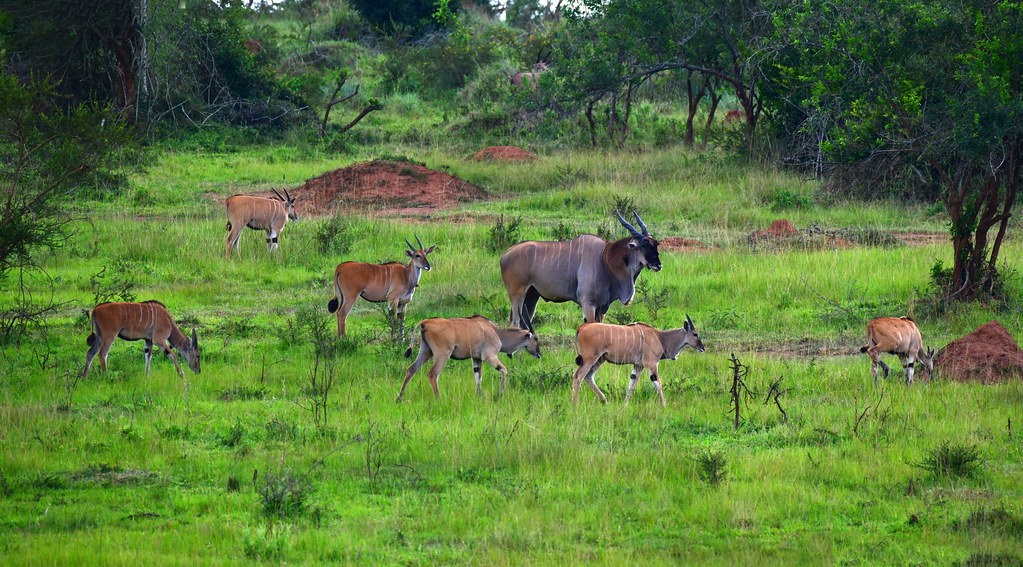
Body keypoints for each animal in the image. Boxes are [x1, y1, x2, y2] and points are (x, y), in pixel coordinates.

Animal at [396, 313, 544, 401]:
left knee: (411, 369)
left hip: (426, 351)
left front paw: (480, 398)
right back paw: (439, 400)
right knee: (432, 374)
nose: (539, 354)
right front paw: (498, 395)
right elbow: (504, 370)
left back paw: (400, 398)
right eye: (536, 338)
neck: (496, 331)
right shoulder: (489, 357)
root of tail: (425, 322)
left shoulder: (477, 359)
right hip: (442, 354)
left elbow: (478, 378)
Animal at [501, 208, 662, 333]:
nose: (658, 265)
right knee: (515, 322)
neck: (604, 258)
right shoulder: (588, 303)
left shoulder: (602, 307)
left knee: (524, 322)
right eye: (643, 245)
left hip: (532, 295)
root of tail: (505, 254)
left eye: (656, 244)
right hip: (517, 294)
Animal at [568, 313, 703, 401]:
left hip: (600, 359)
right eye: (695, 334)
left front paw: (625, 405)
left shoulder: (638, 365)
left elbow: (631, 384)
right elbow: (658, 383)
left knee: (588, 376)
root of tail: (581, 327)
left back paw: (604, 400)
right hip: (590, 358)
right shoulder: (651, 363)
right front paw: (664, 406)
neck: (660, 337)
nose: (703, 347)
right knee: (578, 376)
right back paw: (575, 406)